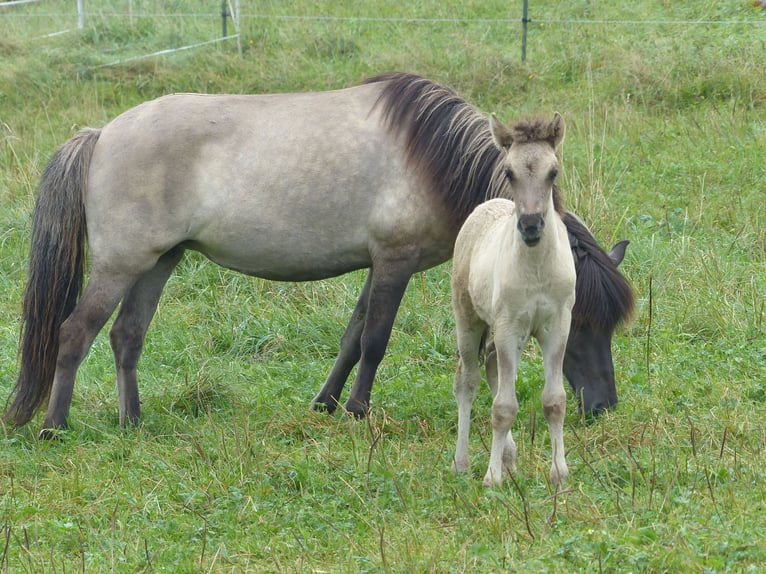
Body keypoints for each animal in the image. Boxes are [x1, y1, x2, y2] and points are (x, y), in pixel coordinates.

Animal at [456, 113, 576, 490]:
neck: (536, 268)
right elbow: (503, 407)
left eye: (553, 172)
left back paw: (509, 458)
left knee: (493, 368)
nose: (531, 225)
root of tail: (487, 206)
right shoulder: (508, 326)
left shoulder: (557, 325)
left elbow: (554, 401)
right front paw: (492, 477)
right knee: (468, 381)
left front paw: (559, 473)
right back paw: (462, 463)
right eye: (509, 172)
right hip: (468, 319)